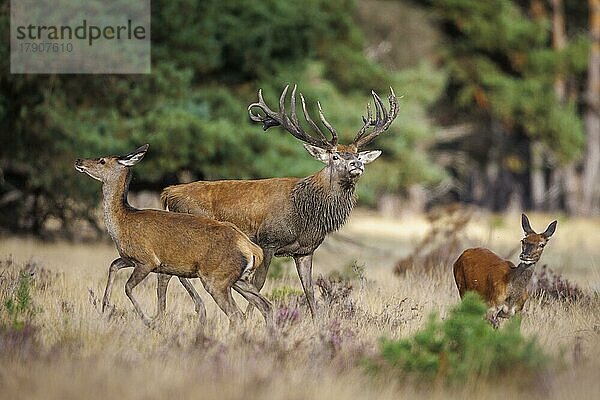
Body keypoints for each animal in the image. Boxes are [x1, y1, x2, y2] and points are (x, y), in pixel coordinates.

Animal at [74, 145, 274, 326]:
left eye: (102, 160)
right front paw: (105, 306)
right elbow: (113, 265)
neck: (122, 224)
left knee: (237, 315)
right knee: (266, 306)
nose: (79, 160)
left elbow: (128, 287)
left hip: (216, 279)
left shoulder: (147, 260)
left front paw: (148, 319)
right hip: (238, 279)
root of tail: (253, 250)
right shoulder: (130, 258)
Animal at [159, 85, 398, 318]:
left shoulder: (305, 251)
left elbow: (310, 291)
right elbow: (259, 283)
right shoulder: (268, 241)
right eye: (335, 156)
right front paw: (255, 318)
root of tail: (169, 192)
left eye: (357, 154)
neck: (306, 215)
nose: (357, 164)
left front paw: (318, 323)